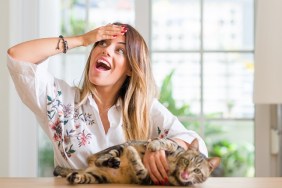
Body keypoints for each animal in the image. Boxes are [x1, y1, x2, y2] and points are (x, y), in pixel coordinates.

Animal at [53, 137, 220, 186]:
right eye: (186, 161)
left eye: (197, 170)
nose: (185, 173)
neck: (174, 170)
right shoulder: (174, 147)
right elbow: (167, 142)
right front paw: (153, 145)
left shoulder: (148, 180)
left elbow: (140, 168)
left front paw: (133, 154)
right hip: (116, 148)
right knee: (104, 158)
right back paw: (112, 160)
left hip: (97, 176)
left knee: (85, 175)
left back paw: (74, 177)